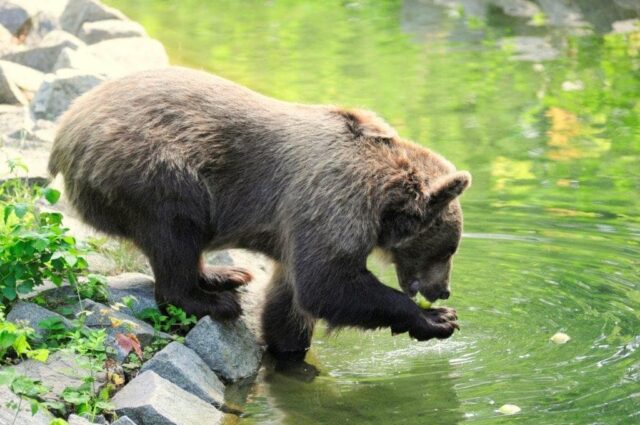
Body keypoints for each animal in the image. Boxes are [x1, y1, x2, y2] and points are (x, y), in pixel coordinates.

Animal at [48, 66, 470, 358]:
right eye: (447, 249)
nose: (444, 289)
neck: (382, 201)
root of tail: (66, 127)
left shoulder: (295, 228)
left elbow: (290, 301)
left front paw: (289, 348)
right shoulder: (331, 200)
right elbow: (327, 283)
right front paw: (436, 319)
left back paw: (224, 274)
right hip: (153, 168)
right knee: (175, 229)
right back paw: (212, 299)